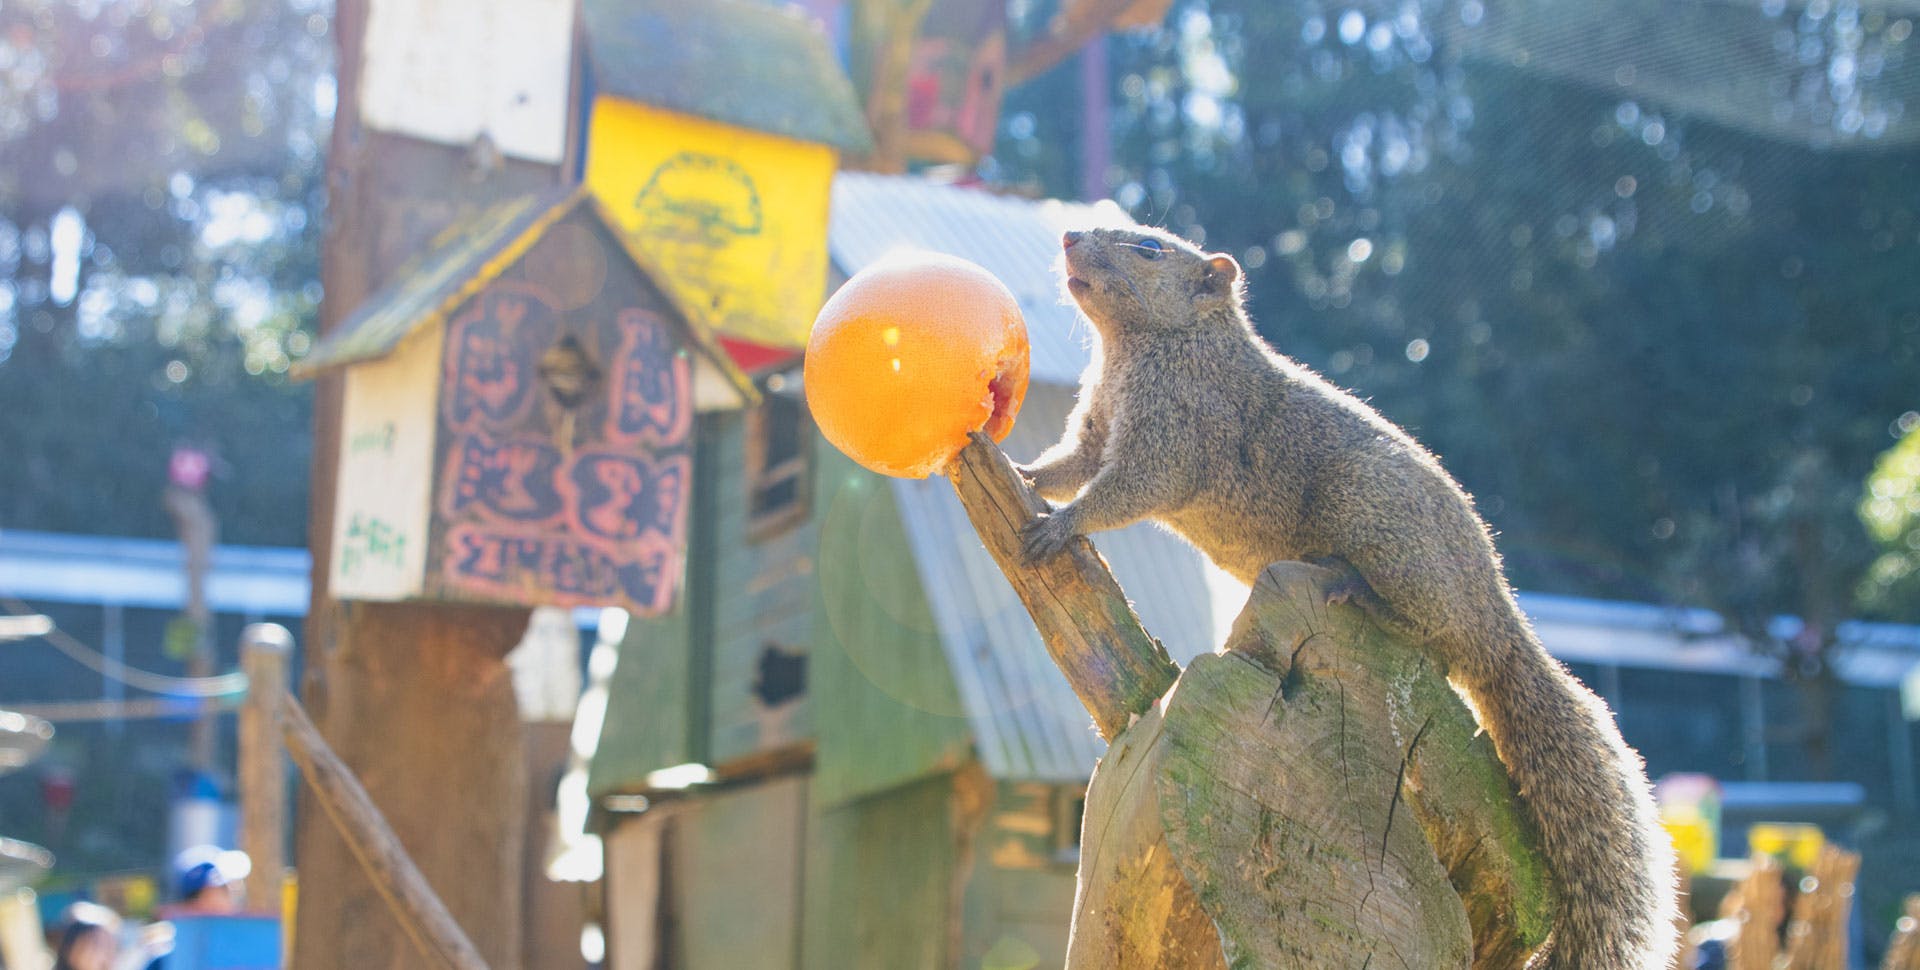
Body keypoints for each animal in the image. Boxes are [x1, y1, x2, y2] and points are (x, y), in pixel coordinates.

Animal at [1018, 225, 1677, 970]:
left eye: (1150, 248)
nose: (1069, 234)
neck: (1137, 350)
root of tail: (1498, 619)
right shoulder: (1095, 427)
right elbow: (1070, 466)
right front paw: (1020, 472)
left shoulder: (1179, 431)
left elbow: (1124, 490)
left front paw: (1060, 525)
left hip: (1375, 518)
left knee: (1427, 630)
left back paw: (1351, 587)